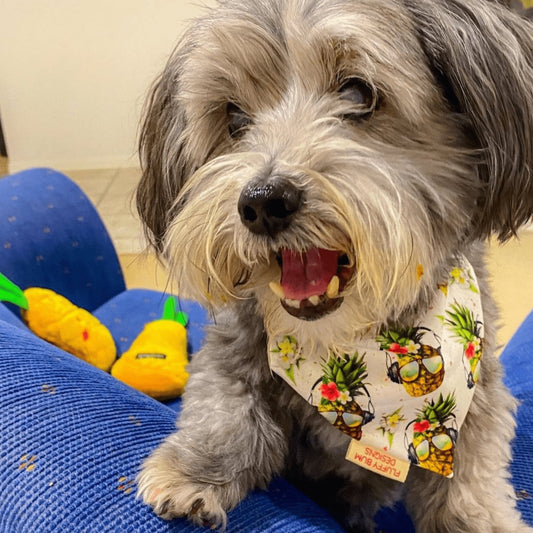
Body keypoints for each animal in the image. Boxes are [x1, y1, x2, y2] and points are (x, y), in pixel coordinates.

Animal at [134, 0, 532, 528]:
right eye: (233, 117)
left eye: (358, 92)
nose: (263, 201)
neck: (345, 341)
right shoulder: (233, 347)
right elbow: (225, 406)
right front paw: (197, 471)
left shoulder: (477, 394)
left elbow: (467, 479)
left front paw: (476, 520)